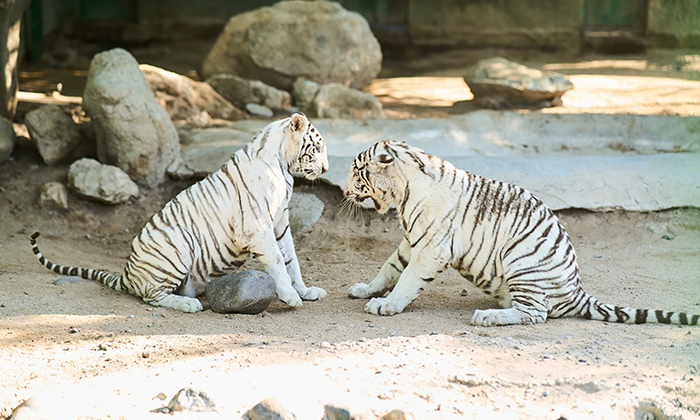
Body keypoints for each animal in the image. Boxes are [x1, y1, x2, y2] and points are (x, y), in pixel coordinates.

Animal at [31, 113, 328, 313]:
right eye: (317, 148)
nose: (326, 169)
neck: (282, 163)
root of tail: (127, 273)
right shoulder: (256, 228)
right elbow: (278, 261)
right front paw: (291, 297)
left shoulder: (280, 223)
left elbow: (291, 260)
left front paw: (305, 291)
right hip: (178, 242)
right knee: (150, 295)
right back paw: (189, 304)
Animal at [343, 139, 699, 327]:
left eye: (356, 171)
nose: (345, 191)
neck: (403, 191)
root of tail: (577, 291)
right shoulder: (411, 241)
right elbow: (389, 267)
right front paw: (366, 289)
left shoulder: (431, 247)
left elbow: (406, 280)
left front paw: (386, 306)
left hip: (521, 260)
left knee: (536, 314)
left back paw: (487, 316)